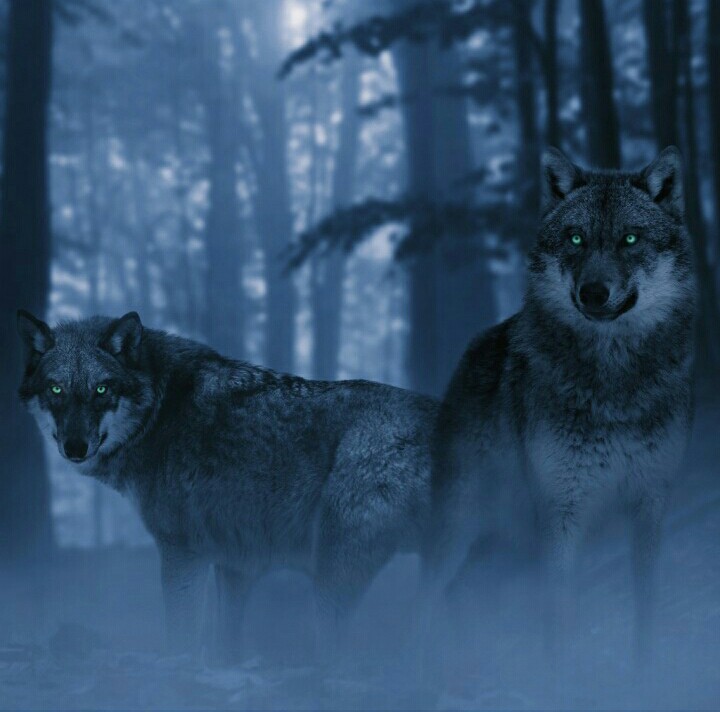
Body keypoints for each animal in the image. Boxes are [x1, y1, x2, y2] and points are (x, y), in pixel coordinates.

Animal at [17, 311, 437, 660]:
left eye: (102, 389)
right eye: (55, 389)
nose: (74, 447)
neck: (159, 411)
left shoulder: (183, 553)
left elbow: (181, 641)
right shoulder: (235, 563)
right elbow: (224, 644)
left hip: (331, 574)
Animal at [420, 146, 696, 664]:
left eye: (630, 239)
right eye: (576, 238)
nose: (593, 292)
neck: (613, 387)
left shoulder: (651, 503)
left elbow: (645, 613)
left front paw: (645, 675)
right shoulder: (562, 513)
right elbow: (560, 624)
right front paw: (561, 679)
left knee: (462, 591)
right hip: (464, 525)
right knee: (427, 597)